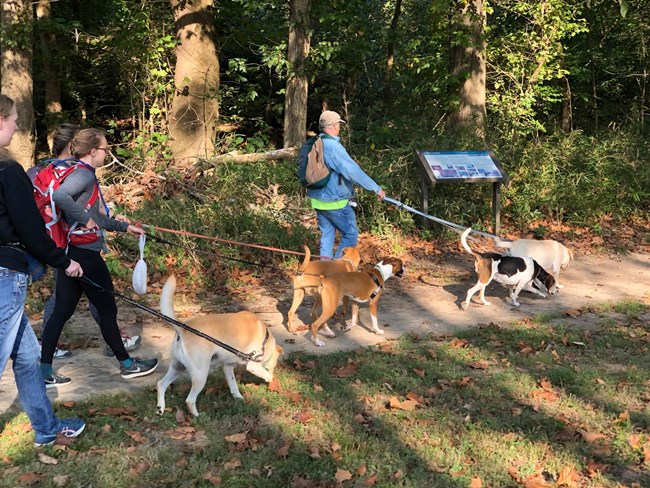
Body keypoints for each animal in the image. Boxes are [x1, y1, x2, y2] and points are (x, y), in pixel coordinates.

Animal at [156, 274, 280, 416]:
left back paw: (160, 408)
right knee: (189, 400)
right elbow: (267, 375)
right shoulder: (252, 365)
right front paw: (271, 380)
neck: (266, 339)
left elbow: (233, 384)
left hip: (177, 367)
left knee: (161, 384)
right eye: (274, 365)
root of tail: (183, 331)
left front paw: (238, 397)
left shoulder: (227, 366)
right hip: (200, 374)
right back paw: (197, 415)